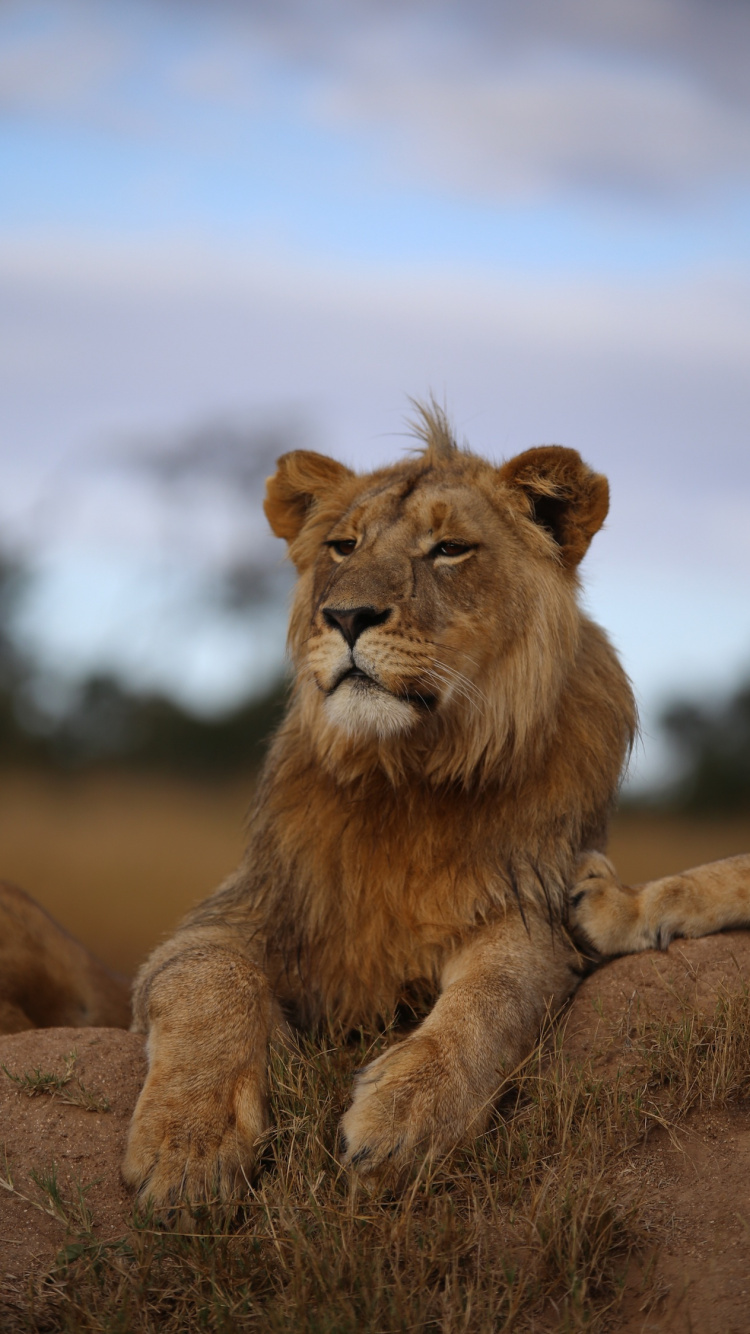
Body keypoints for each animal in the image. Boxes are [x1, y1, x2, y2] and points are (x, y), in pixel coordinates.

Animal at [2, 405, 749, 1212]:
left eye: (449, 549)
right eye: (344, 546)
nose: (348, 615)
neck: (407, 777)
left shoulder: (528, 908)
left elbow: (493, 994)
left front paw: (407, 1115)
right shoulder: (236, 915)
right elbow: (209, 979)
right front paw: (188, 1146)